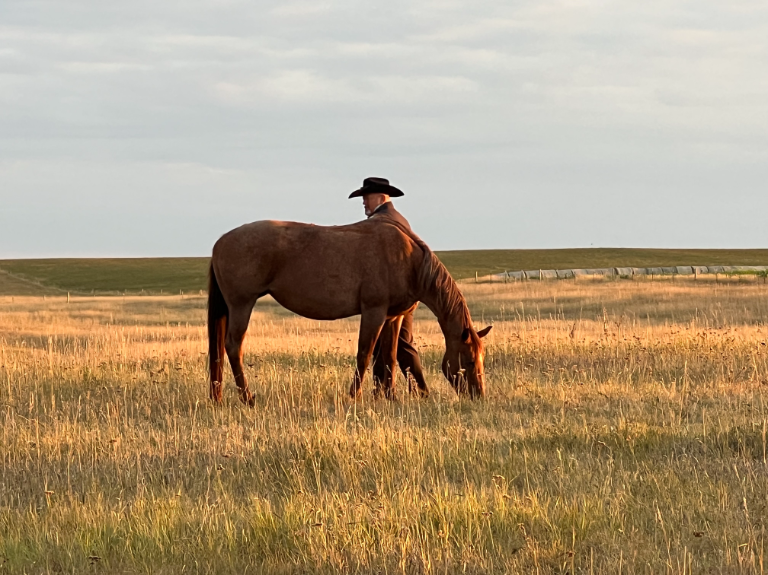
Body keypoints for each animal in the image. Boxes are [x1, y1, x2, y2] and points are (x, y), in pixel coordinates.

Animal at [207, 218, 491, 405]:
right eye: (467, 360)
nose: (479, 395)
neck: (409, 261)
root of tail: (219, 242)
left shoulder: (394, 316)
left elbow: (388, 356)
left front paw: (389, 396)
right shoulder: (374, 312)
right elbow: (365, 354)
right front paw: (354, 395)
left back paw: (218, 396)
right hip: (242, 304)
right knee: (233, 346)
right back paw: (247, 397)